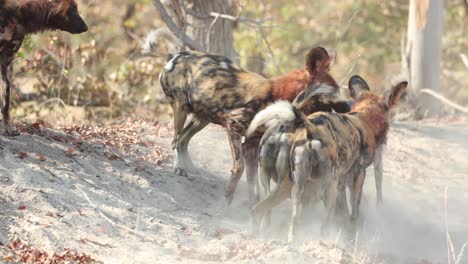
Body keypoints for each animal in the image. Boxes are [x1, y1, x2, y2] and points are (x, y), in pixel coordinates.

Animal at [159, 47, 350, 204]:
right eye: (332, 92)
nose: (348, 107)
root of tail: (176, 56)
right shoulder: (233, 125)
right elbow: (239, 168)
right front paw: (228, 196)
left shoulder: (251, 145)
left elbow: (254, 188)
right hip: (181, 109)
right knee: (176, 140)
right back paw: (179, 167)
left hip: (202, 118)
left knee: (183, 139)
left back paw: (188, 166)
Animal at [247, 75, 408, 241]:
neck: (364, 117)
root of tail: (312, 128)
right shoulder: (357, 175)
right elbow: (354, 211)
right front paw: (352, 233)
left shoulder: (342, 180)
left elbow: (343, 209)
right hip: (327, 184)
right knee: (324, 223)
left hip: (293, 184)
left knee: (266, 212)